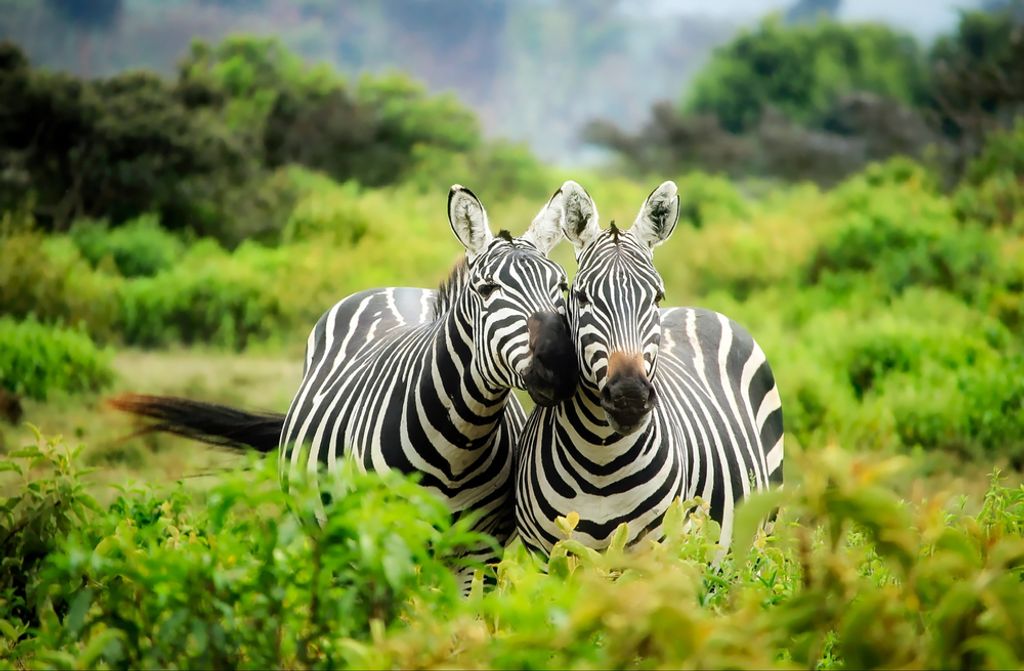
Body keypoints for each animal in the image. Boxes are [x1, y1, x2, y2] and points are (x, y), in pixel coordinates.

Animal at [113, 184, 579, 570]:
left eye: (562, 287)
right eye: (486, 290)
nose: (560, 364)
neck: (459, 443)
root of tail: (396, 288)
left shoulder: (480, 553)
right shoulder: (383, 540)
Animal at [514, 180, 784, 555]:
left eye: (657, 297)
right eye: (581, 297)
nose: (629, 397)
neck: (600, 461)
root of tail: (698, 309)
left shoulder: (657, 552)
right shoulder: (547, 555)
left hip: (760, 534)